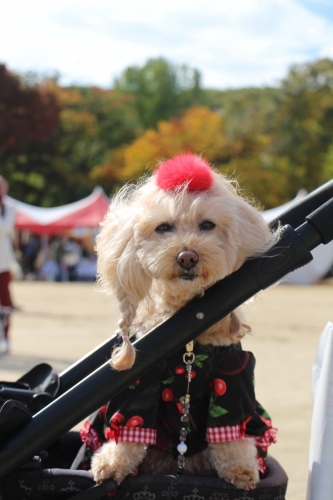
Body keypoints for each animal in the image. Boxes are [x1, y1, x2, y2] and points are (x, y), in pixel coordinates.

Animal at [89, 154, 276, 490]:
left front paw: (242, 469)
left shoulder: (233, 374)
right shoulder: (139, 380)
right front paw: (111, 464)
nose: (187, 257)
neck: (187, 333)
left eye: (207, 225)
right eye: (163, 227)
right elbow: (129, 430)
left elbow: (230, 434)